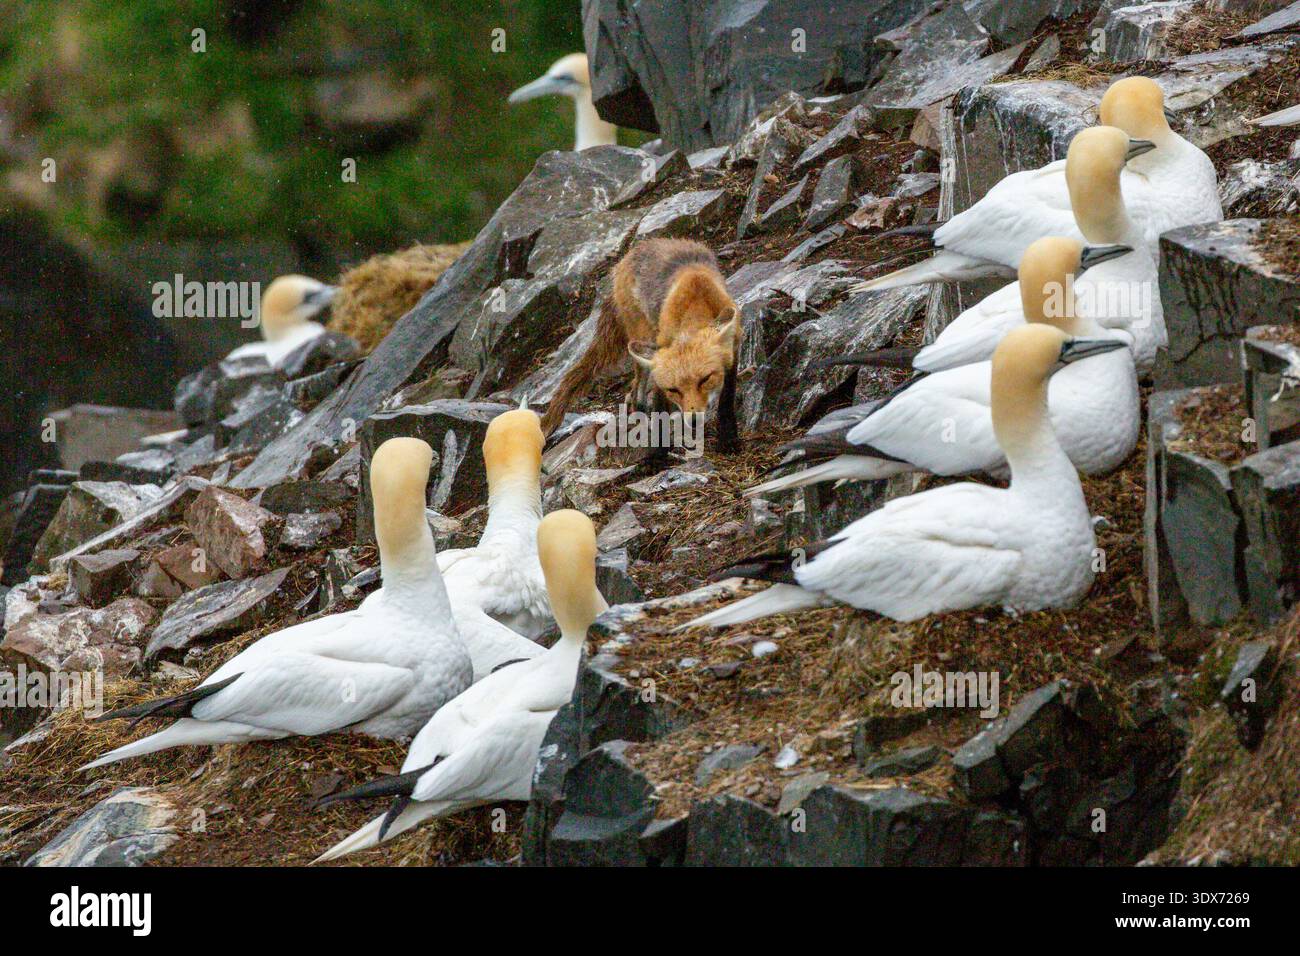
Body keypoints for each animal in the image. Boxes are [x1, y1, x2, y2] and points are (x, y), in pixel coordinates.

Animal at [540, 238, 742, 452]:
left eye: (705, 379)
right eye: (674, 390)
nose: (693, 420)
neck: (695, 299)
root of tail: (624, 259)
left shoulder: (734, 348)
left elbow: (727, 399)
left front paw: (728, 439)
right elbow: (660, 402)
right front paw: (660, 447)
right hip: (643, 339)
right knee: (637, 386)